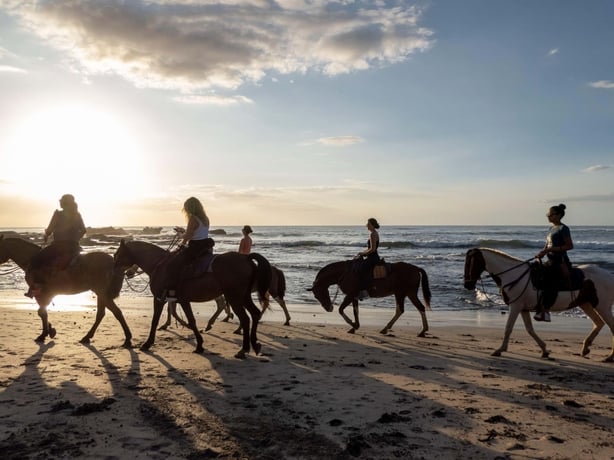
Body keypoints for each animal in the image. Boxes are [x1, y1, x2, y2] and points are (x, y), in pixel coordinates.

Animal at [0, 235, 134, 346]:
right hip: (101, 293)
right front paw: (49, 330)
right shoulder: (45, 294)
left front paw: (44, 334)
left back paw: (127, 338)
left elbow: (42, 313)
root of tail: (114, 264)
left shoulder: (41, 293)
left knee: (116, 313)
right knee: (101, 314)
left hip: (102, 293)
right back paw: (87, 337)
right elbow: (42, 312)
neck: (32, 260)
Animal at [113, 241, 272, 360]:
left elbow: (155, 321)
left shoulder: (160, 299)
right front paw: (199, 345)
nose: (115, 270)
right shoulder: (182, 300)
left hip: (234, 297)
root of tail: (246, 258)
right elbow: (191, 320)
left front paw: (147, 343)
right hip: (243, 296)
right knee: (255, 313)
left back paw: (244, 349)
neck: (159, 265)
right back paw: (255, 344)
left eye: (117, 254)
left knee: (245, 318)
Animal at [464, 246, 614, 362]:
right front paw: (545, 350)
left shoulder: (515, 306)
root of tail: (609, 275)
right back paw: (585, 349)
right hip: (586, 304)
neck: (513, 275)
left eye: (471, 263)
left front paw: (499, 350)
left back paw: (609, 357)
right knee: (598, 323)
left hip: (602, 306)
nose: (467, 285)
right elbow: (530, 329)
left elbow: (508, 328)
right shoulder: (523, 308)